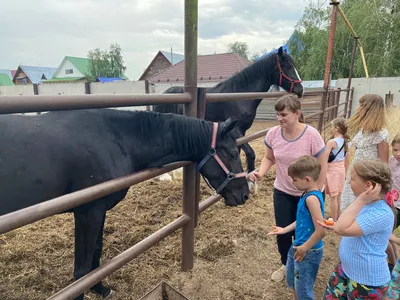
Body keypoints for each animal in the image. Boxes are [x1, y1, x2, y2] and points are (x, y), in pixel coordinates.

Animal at [0, 109, 250, 298]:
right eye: (232, 154)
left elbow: (96, 253)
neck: (111, 138)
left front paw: (100, 289)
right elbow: (81, 271)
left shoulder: (98, 212)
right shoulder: (87, 212)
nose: (245, 194)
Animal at [153, 46, 304, 193]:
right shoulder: (235, 130)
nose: (300, 89)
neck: (239, 96)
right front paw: (251, 183)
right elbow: (250, 153)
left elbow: (239, 151)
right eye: (285, 66)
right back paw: (165, 176)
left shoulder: (242, 132)